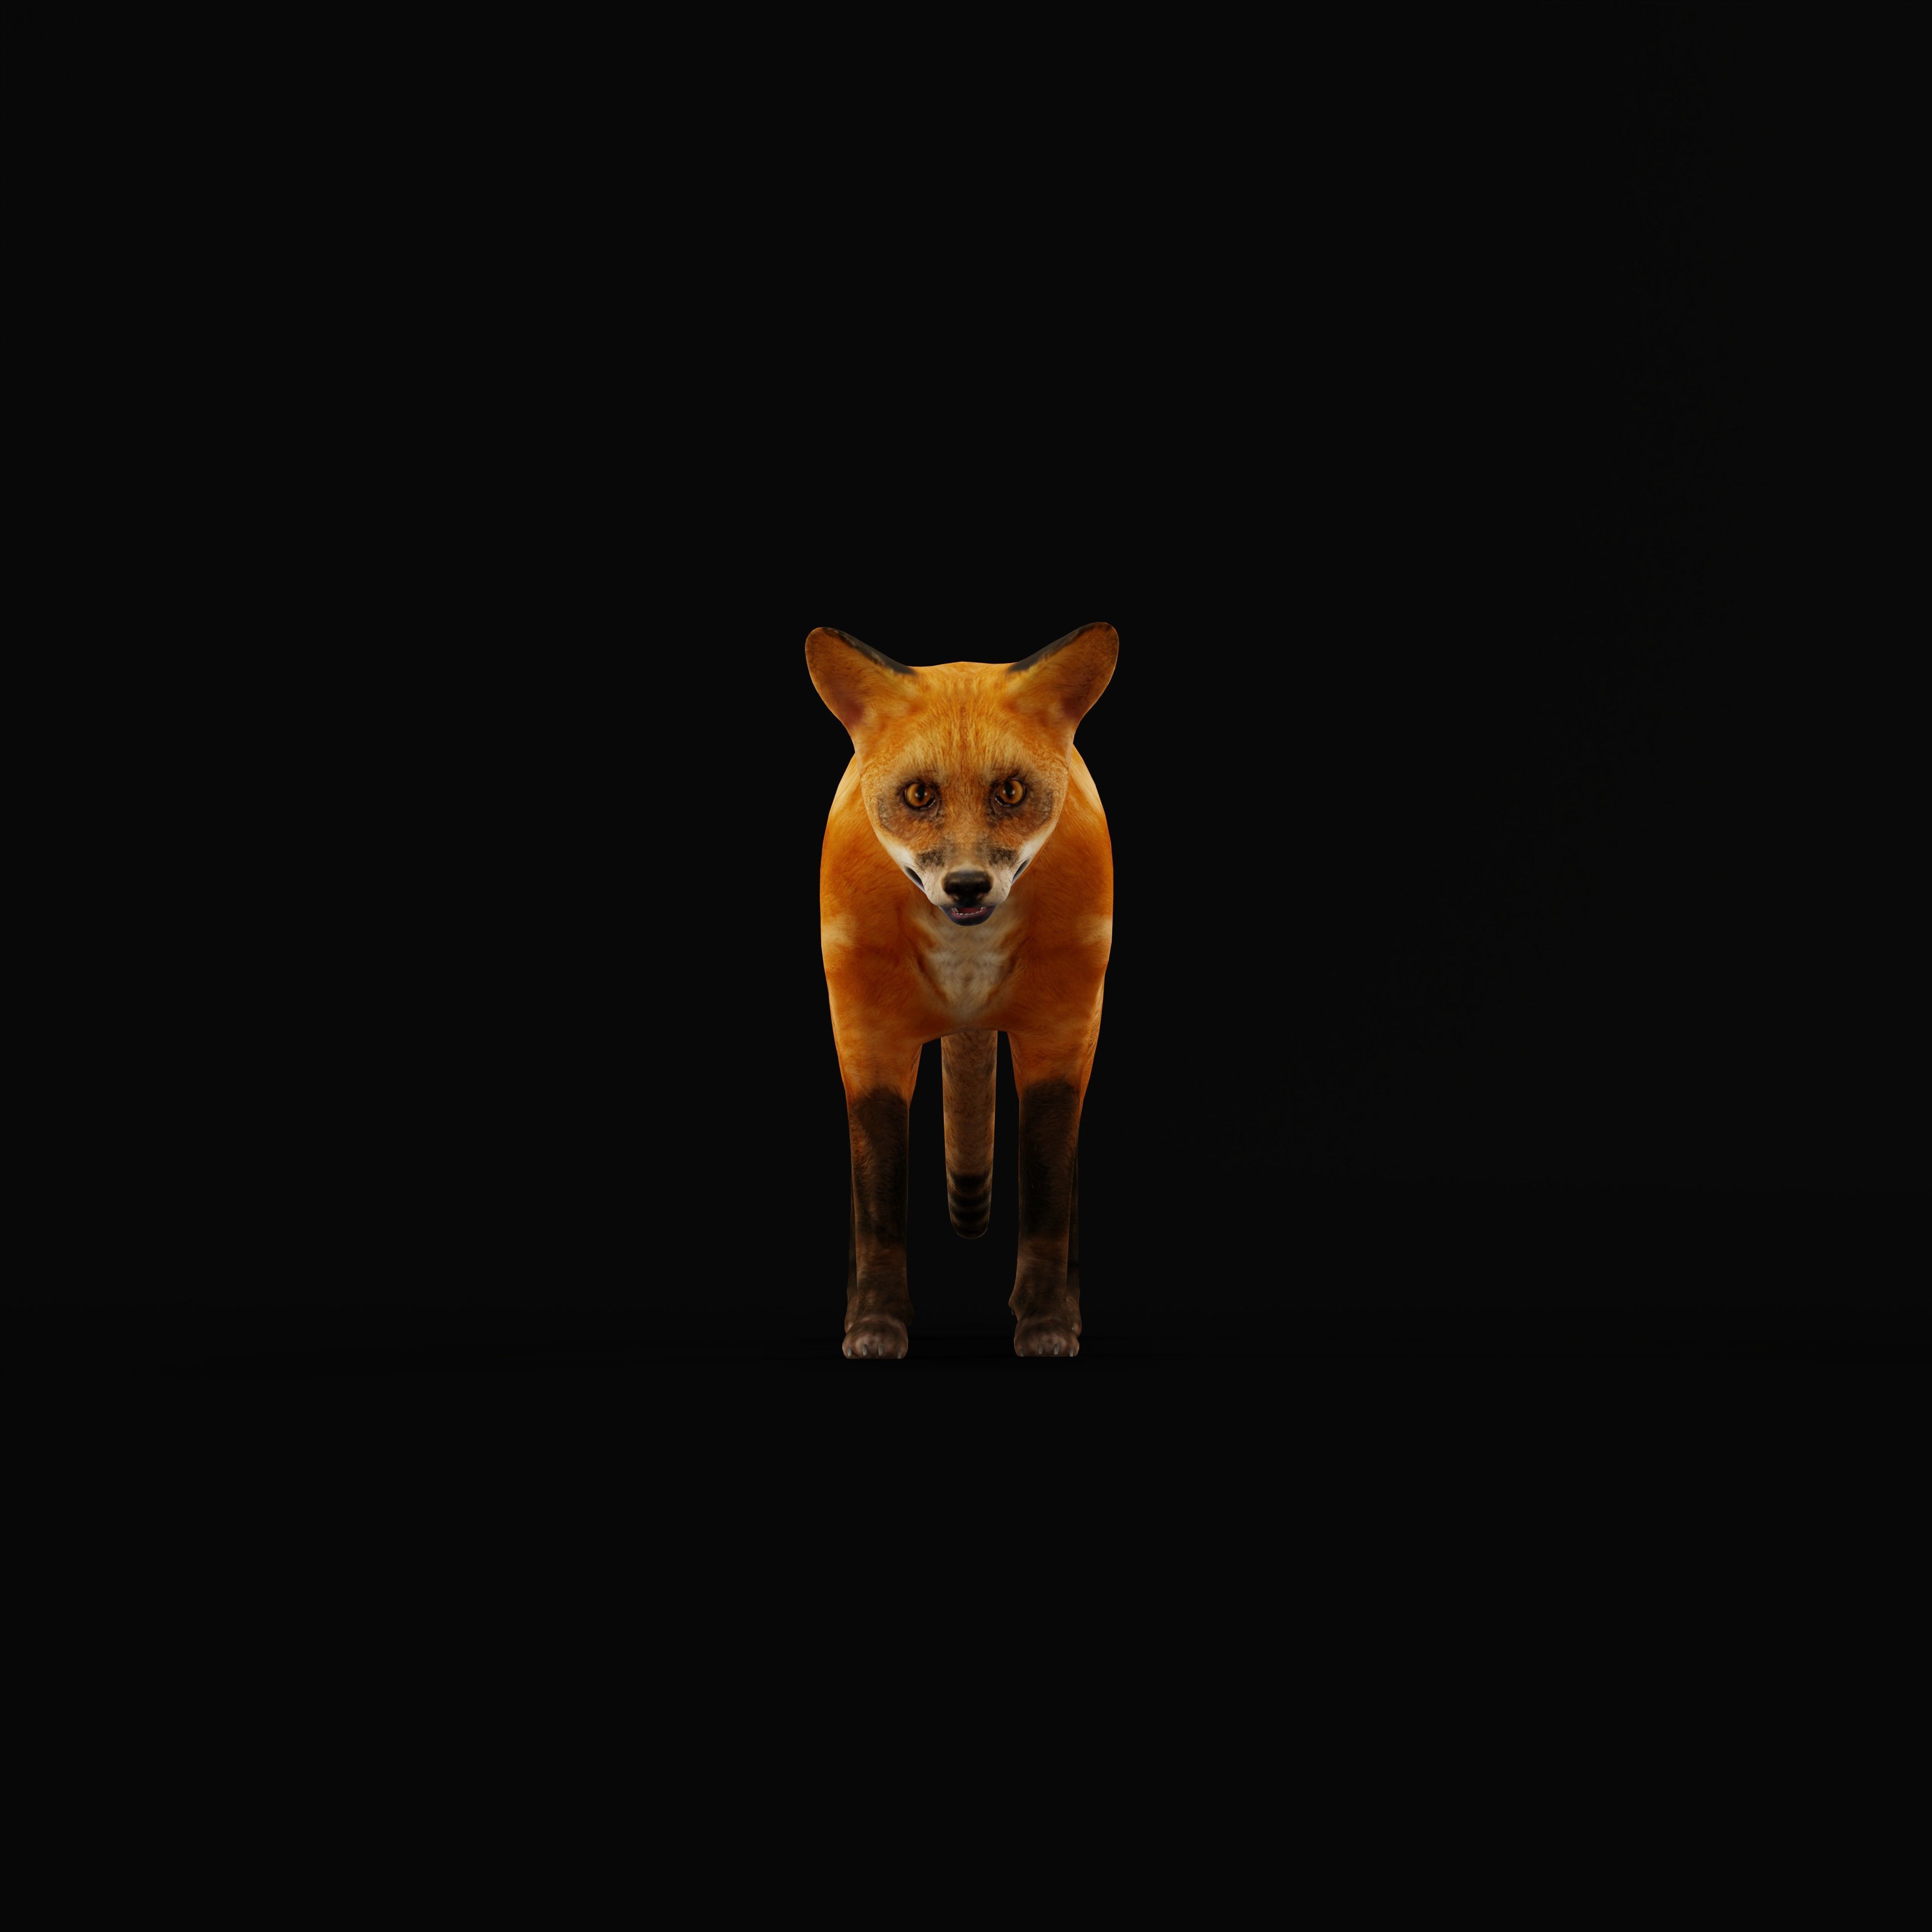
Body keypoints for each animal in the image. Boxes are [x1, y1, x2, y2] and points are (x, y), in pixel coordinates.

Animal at [807, 621, 1118, 1360]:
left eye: (1011, 792)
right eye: (920, 796)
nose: (968, 886)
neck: (967, 966)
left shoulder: (1061, 1033)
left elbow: (1046, 1195)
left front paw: (1046, 1320)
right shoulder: (867, 1037)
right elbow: (878, 1202)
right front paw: (875, 1321)